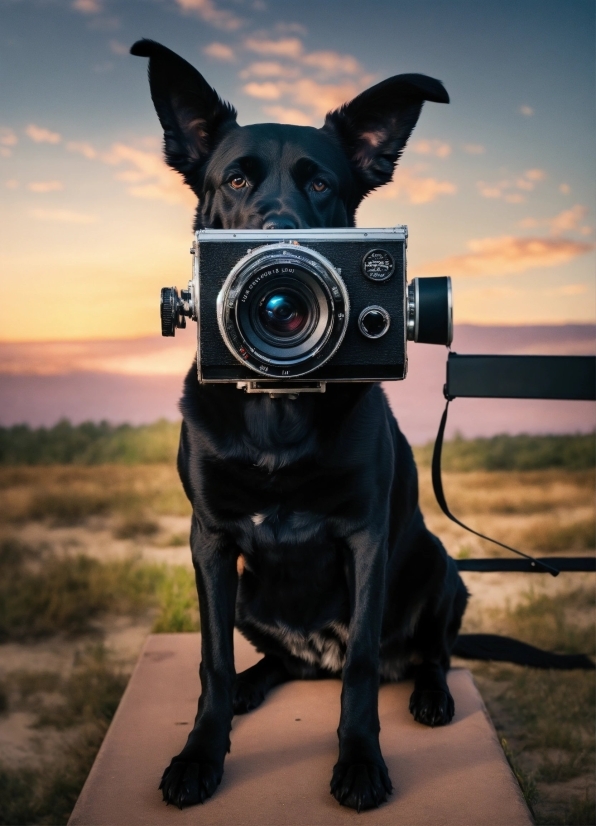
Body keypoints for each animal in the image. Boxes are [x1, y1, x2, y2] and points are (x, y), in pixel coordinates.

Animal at [132, 40, 470, 812]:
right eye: (233, 179)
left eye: (321, 185)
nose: (276, 234)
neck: (278, 408)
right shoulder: (211, 539)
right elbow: (211, 662)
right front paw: (201, 753)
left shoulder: (367, 537)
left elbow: (365, 667)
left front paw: (360, 761)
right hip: (251, 593)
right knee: (280, 662)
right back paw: (252, 688)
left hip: (440, 565)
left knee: (425, 653)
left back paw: (431, 695)